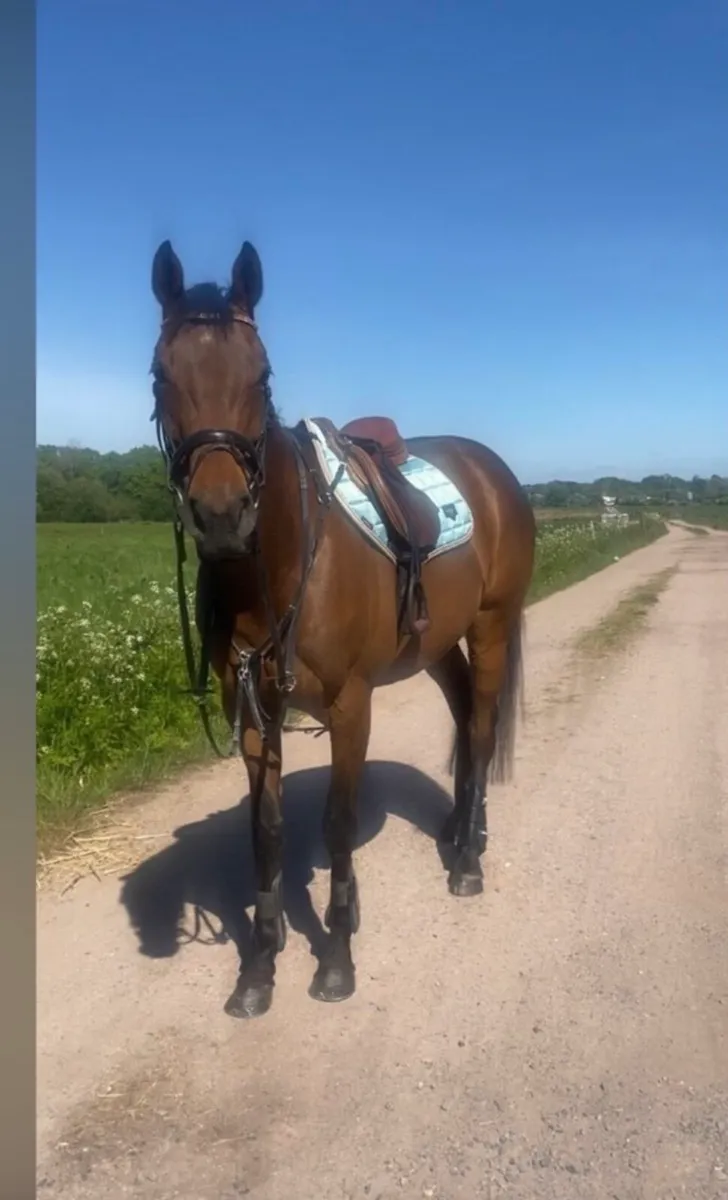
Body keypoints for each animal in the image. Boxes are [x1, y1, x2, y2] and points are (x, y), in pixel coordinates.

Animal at [150, 238, 536, 1019]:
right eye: (159, 373)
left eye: (262, 375)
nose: (221, 514)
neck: (282, 562)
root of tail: (495, 473)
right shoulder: (253, 711)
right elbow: (266, 832)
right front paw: (260, 965)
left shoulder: (350, 703)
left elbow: (337, 823)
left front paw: (336, 956)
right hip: (438, 645)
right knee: (463, 724)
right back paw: (461, 830)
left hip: (491, 628)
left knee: (481, 732)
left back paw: (468, 860)